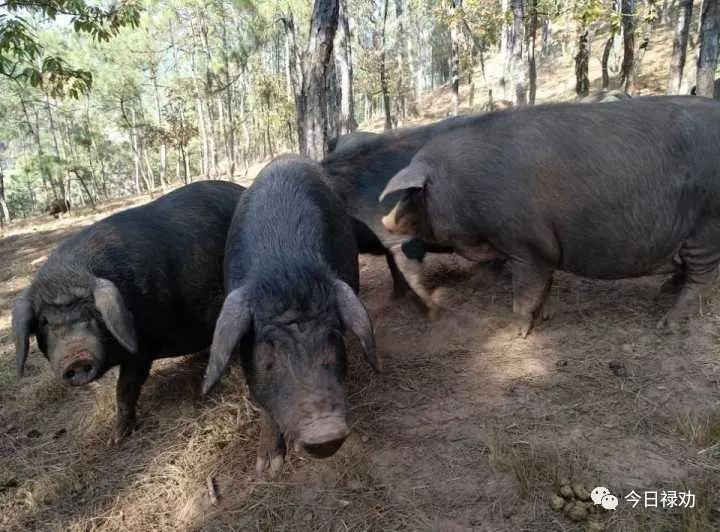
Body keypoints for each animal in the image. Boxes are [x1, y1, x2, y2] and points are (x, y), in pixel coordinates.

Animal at [11, 181, 245, 442]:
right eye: (44, 322)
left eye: (92, 313)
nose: (77, 357)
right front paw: (114, 439)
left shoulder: (143, 343)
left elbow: (125, 387)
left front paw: (116, 439)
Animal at [376, 95, 720, 334]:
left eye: (413, 192)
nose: (385, 221)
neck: (464, 189)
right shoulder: (546, 251)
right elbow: (544, 287)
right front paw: (543, 318)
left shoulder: (528, 247)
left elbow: (525, 295)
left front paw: (515, 333)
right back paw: (662, 294)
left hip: (706, 231)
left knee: (701, 279)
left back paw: (667, 322)